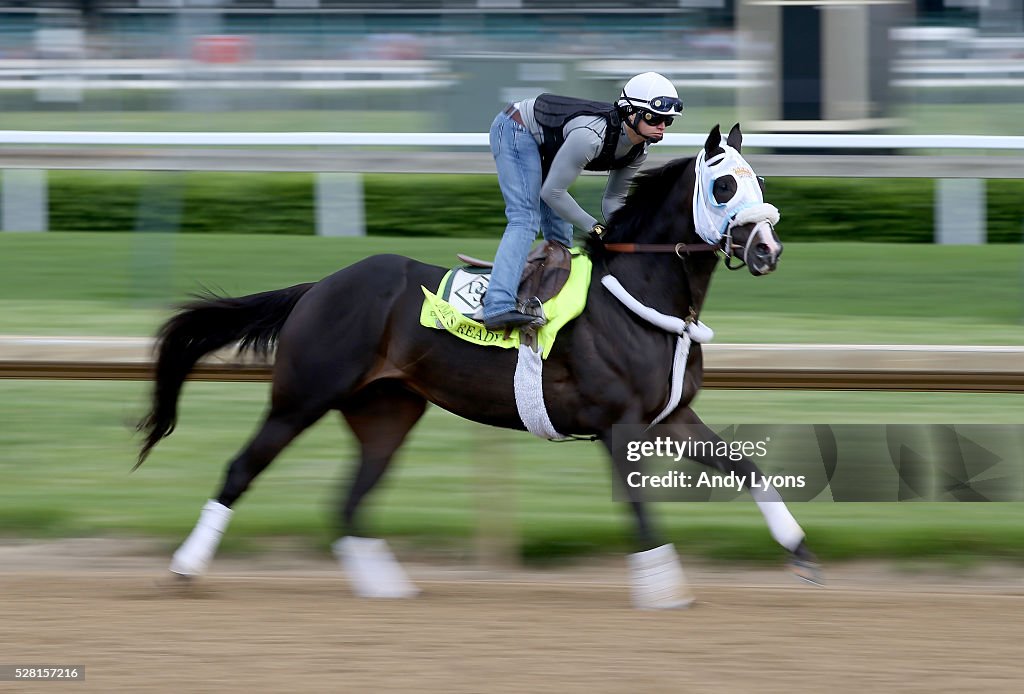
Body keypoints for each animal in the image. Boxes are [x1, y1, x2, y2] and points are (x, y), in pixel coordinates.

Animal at [138, 123, 823, 610]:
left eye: (760, 181)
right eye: (724, 186)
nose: (768, 248)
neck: (639, 290)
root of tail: (318, 287)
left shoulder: (671, 417)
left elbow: (748, 469)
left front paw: (801, 552)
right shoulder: (618, 424)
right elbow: (637, 506)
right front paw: (664, 591)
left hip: (386, 410)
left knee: (349, 501)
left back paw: (387, 588)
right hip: (301, 397)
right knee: (241, 470)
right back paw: (185, 568)